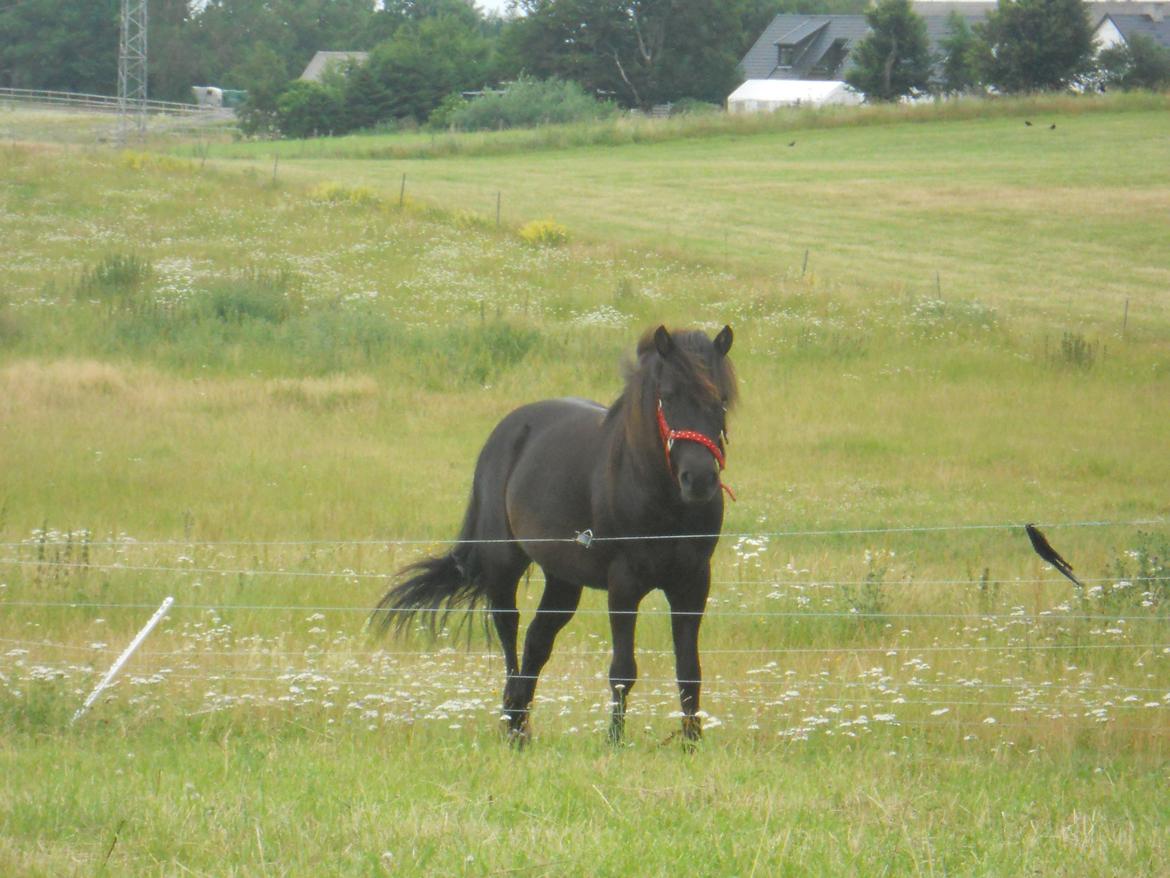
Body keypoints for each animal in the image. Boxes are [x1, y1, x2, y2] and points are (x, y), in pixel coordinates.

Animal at [374, 325, 734, 744]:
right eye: (668, 395)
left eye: (721, 399)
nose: (700, 479)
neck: (658, 495)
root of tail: (508, 429)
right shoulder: (624, 584)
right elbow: (623, 669)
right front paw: (615, 741)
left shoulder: (692, 583)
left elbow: (689, 670)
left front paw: (692, 744)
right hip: (504, 564)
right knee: (509, 629)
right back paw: (514, 722)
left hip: (563, 580)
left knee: (537, 641)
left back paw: (519, 723)